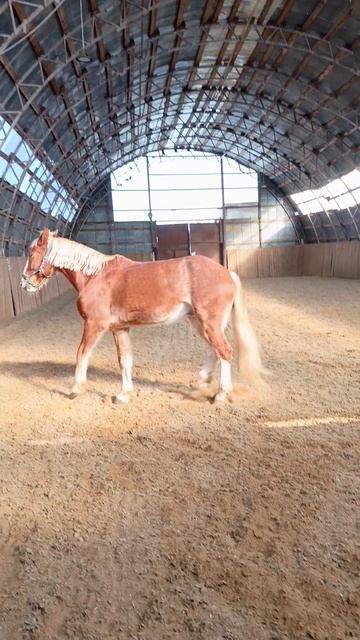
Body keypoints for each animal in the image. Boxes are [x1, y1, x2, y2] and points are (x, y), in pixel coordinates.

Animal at [21, 228, 264, 402]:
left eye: (32, 253)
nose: (25, 283)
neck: (94, 276)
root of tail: (227, 273)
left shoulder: (94, 325)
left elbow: (82, 353)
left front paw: (75, 388)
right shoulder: (119, 328)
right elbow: (124, 359)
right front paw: (123, 394)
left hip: (208, 322)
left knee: (224, 351)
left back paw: (221, 394)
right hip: (199, 321)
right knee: (215, 351)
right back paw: (201, 382)